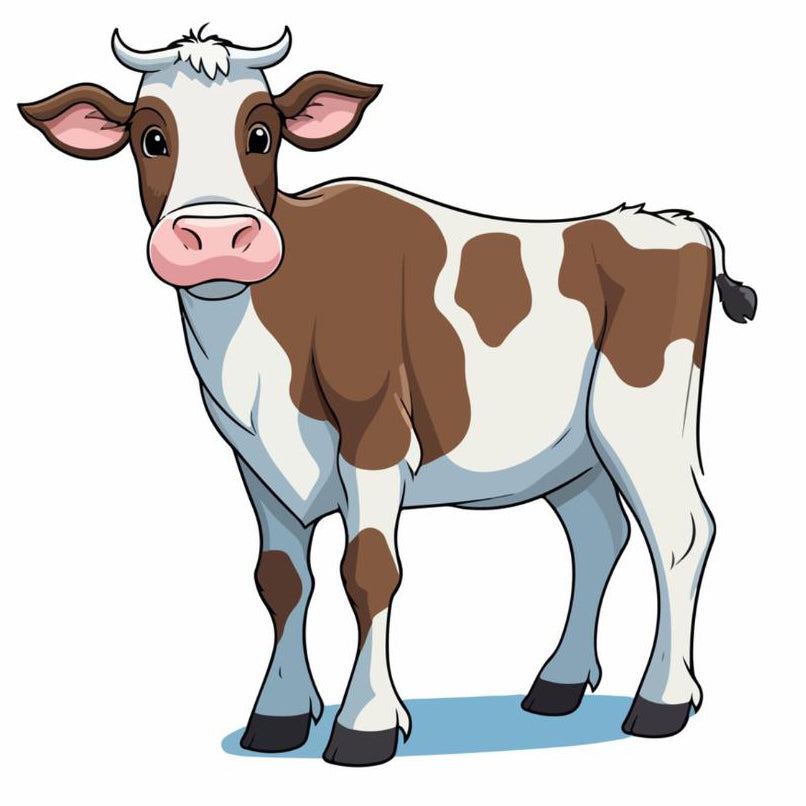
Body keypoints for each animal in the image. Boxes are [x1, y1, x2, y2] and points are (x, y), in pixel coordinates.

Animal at [19, 26, 757, 767]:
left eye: (261, 134)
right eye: (151, 138)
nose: (218, 240)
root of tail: (670, 223)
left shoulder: (376, 438)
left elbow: (368, 571)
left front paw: (364, 721)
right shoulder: (255, 461)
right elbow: (281, 580)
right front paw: (280, 713)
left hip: (641, 416)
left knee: (680, 534)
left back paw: (661, 700)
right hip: (573, 451)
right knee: (598, 533)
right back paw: (559, 683)